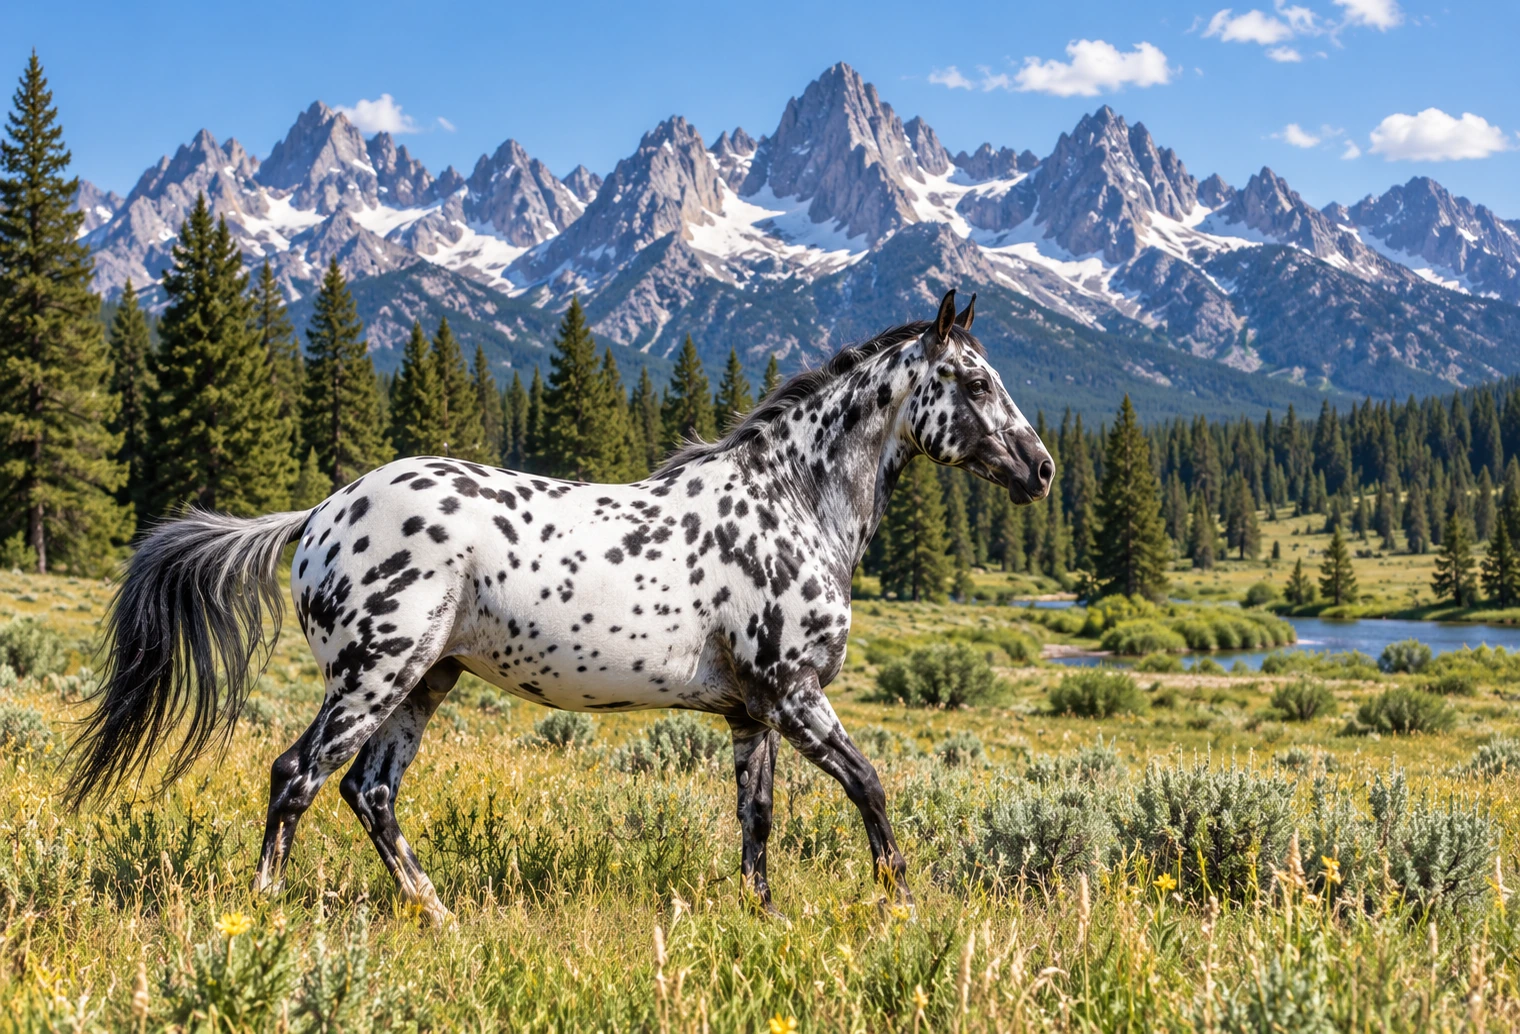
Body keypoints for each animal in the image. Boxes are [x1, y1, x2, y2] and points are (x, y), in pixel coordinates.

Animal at [66, 288, 1054, 925]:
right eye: (973, 383)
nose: (1041, 470)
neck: (791, 502)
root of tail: (315, 515)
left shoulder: (754, 712)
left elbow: (758, 821)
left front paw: (766, 919)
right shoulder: (797, 696)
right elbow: (870, 786)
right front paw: (901, 900)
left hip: (425, 679)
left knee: (369, 791)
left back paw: (438, 913)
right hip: (373, 674)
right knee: (297, 776)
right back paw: (264, 915)